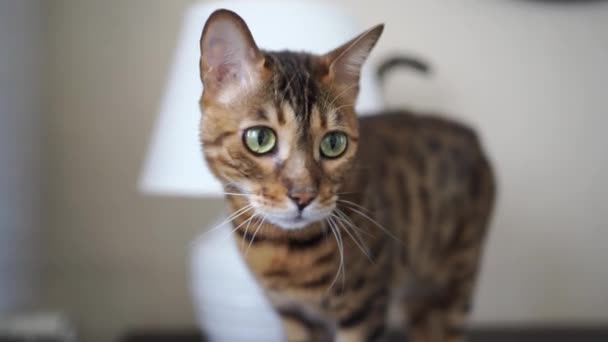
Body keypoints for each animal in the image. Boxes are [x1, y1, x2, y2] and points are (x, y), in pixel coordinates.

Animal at [198, 8, 494, 342]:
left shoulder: (365, 308)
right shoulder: (294, 316)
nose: (303, 196)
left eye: (333, 143)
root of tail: (471, 132)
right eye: (260, 138)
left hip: (454, 284)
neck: (283, 251)